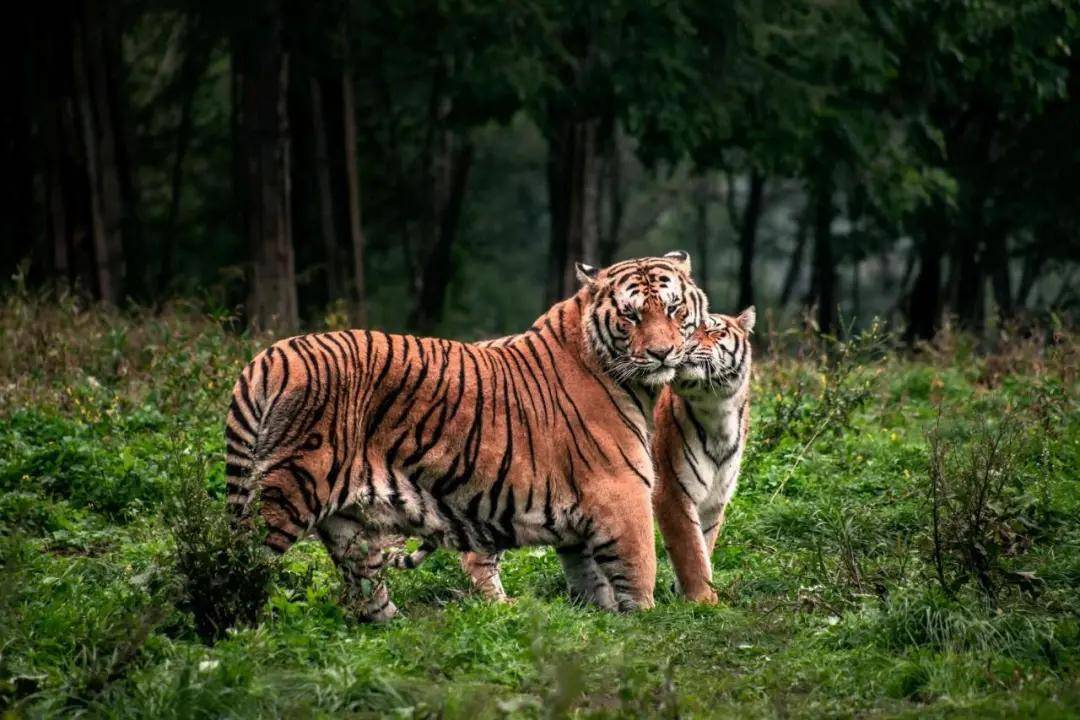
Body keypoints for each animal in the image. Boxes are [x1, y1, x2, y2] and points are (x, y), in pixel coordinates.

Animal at [224, 253, 708, 621]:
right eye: (631, 315)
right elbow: (639, 567)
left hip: (348, 525)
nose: (662, 353)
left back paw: (397, 626)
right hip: (287, 492)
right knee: (240, 562)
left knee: (365, 588)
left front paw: (603, 617)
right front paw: (644, 621)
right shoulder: (621, 492)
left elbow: (591, 577)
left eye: (673, 309)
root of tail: (268, 356)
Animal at [652, 306, 756, 604]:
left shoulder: (715, 498)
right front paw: (703, 600)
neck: (717, 410)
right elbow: (690, 548)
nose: (685, 347)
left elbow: (704, 544)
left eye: (713, 331)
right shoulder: (672, 491)